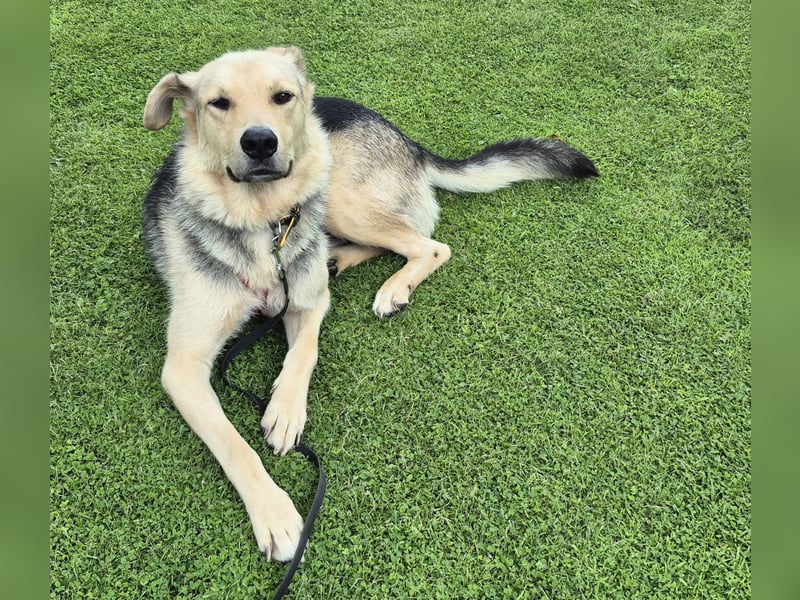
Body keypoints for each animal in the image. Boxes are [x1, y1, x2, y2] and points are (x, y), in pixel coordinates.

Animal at [142, 46, 597, 561]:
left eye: (282, 97)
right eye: (219, 103)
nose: (260, 142)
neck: (264, 224)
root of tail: (407, 141)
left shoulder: (308, 302)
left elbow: (306, 352)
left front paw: (286, 411)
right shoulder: (184, 366)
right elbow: (234, 444)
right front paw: (274, 514)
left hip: (338, 192)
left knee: (430, 245)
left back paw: (391, 288)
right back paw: (338, 259)